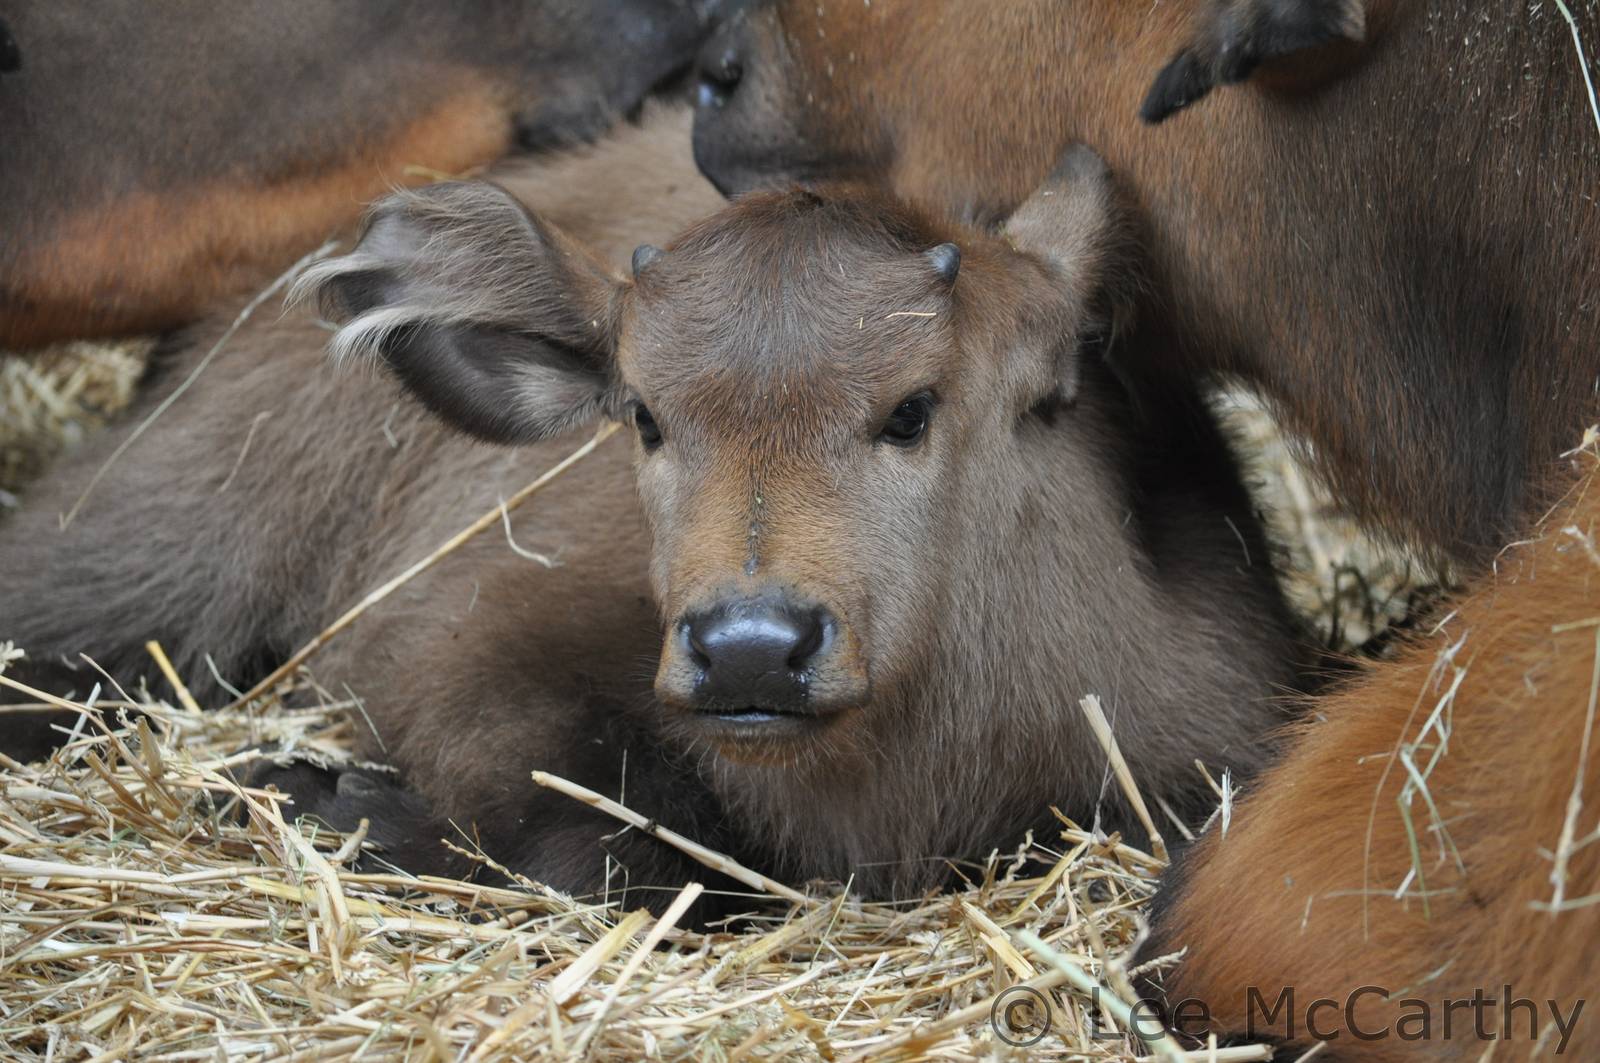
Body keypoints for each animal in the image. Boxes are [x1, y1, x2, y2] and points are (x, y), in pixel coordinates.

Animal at [0, 116, 1304, 913]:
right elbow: (600, 849)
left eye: (912, 407)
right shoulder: (476, 659)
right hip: (160, 541)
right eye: (642, 413)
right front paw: (323, 797)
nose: (751, 648)